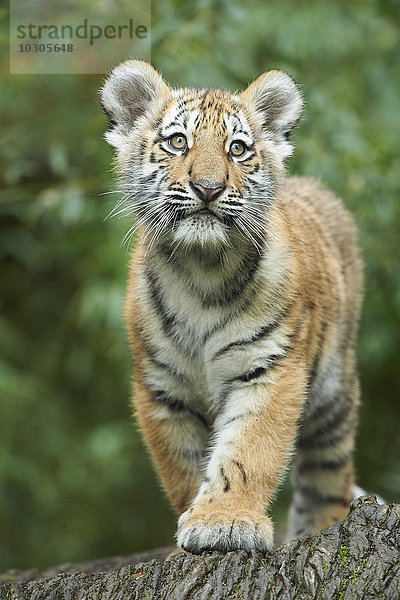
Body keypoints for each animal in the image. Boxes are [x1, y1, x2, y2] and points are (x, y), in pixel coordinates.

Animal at [101, 61, 364, 552]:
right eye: (178, 141)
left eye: (237, 149)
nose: (208, 188)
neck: (200, 270)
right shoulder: (162, 388)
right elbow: (184, 467)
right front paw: (195, 520)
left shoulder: (269, 369)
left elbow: (247, 452)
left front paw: (225, 521)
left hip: (334, 393)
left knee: (328, 474)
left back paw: (323, 530)